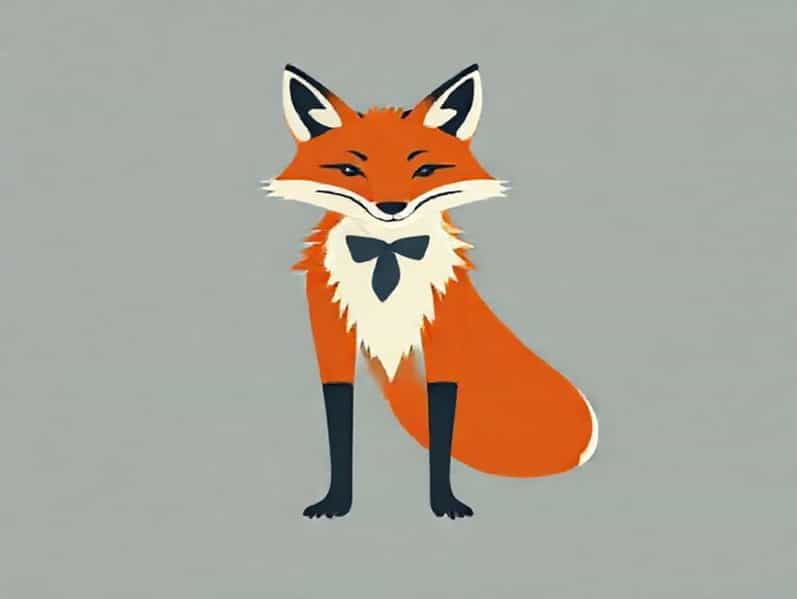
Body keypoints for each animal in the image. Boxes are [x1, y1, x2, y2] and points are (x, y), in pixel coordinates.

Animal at [264, 63, 598, 519]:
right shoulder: (332, 335)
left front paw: (444, 502)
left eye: (424, 171)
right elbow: (339, 428)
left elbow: (442, 427)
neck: (387, 254)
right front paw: (337, 502)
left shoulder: (444, 336)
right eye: (350, 171)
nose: (391, 207)